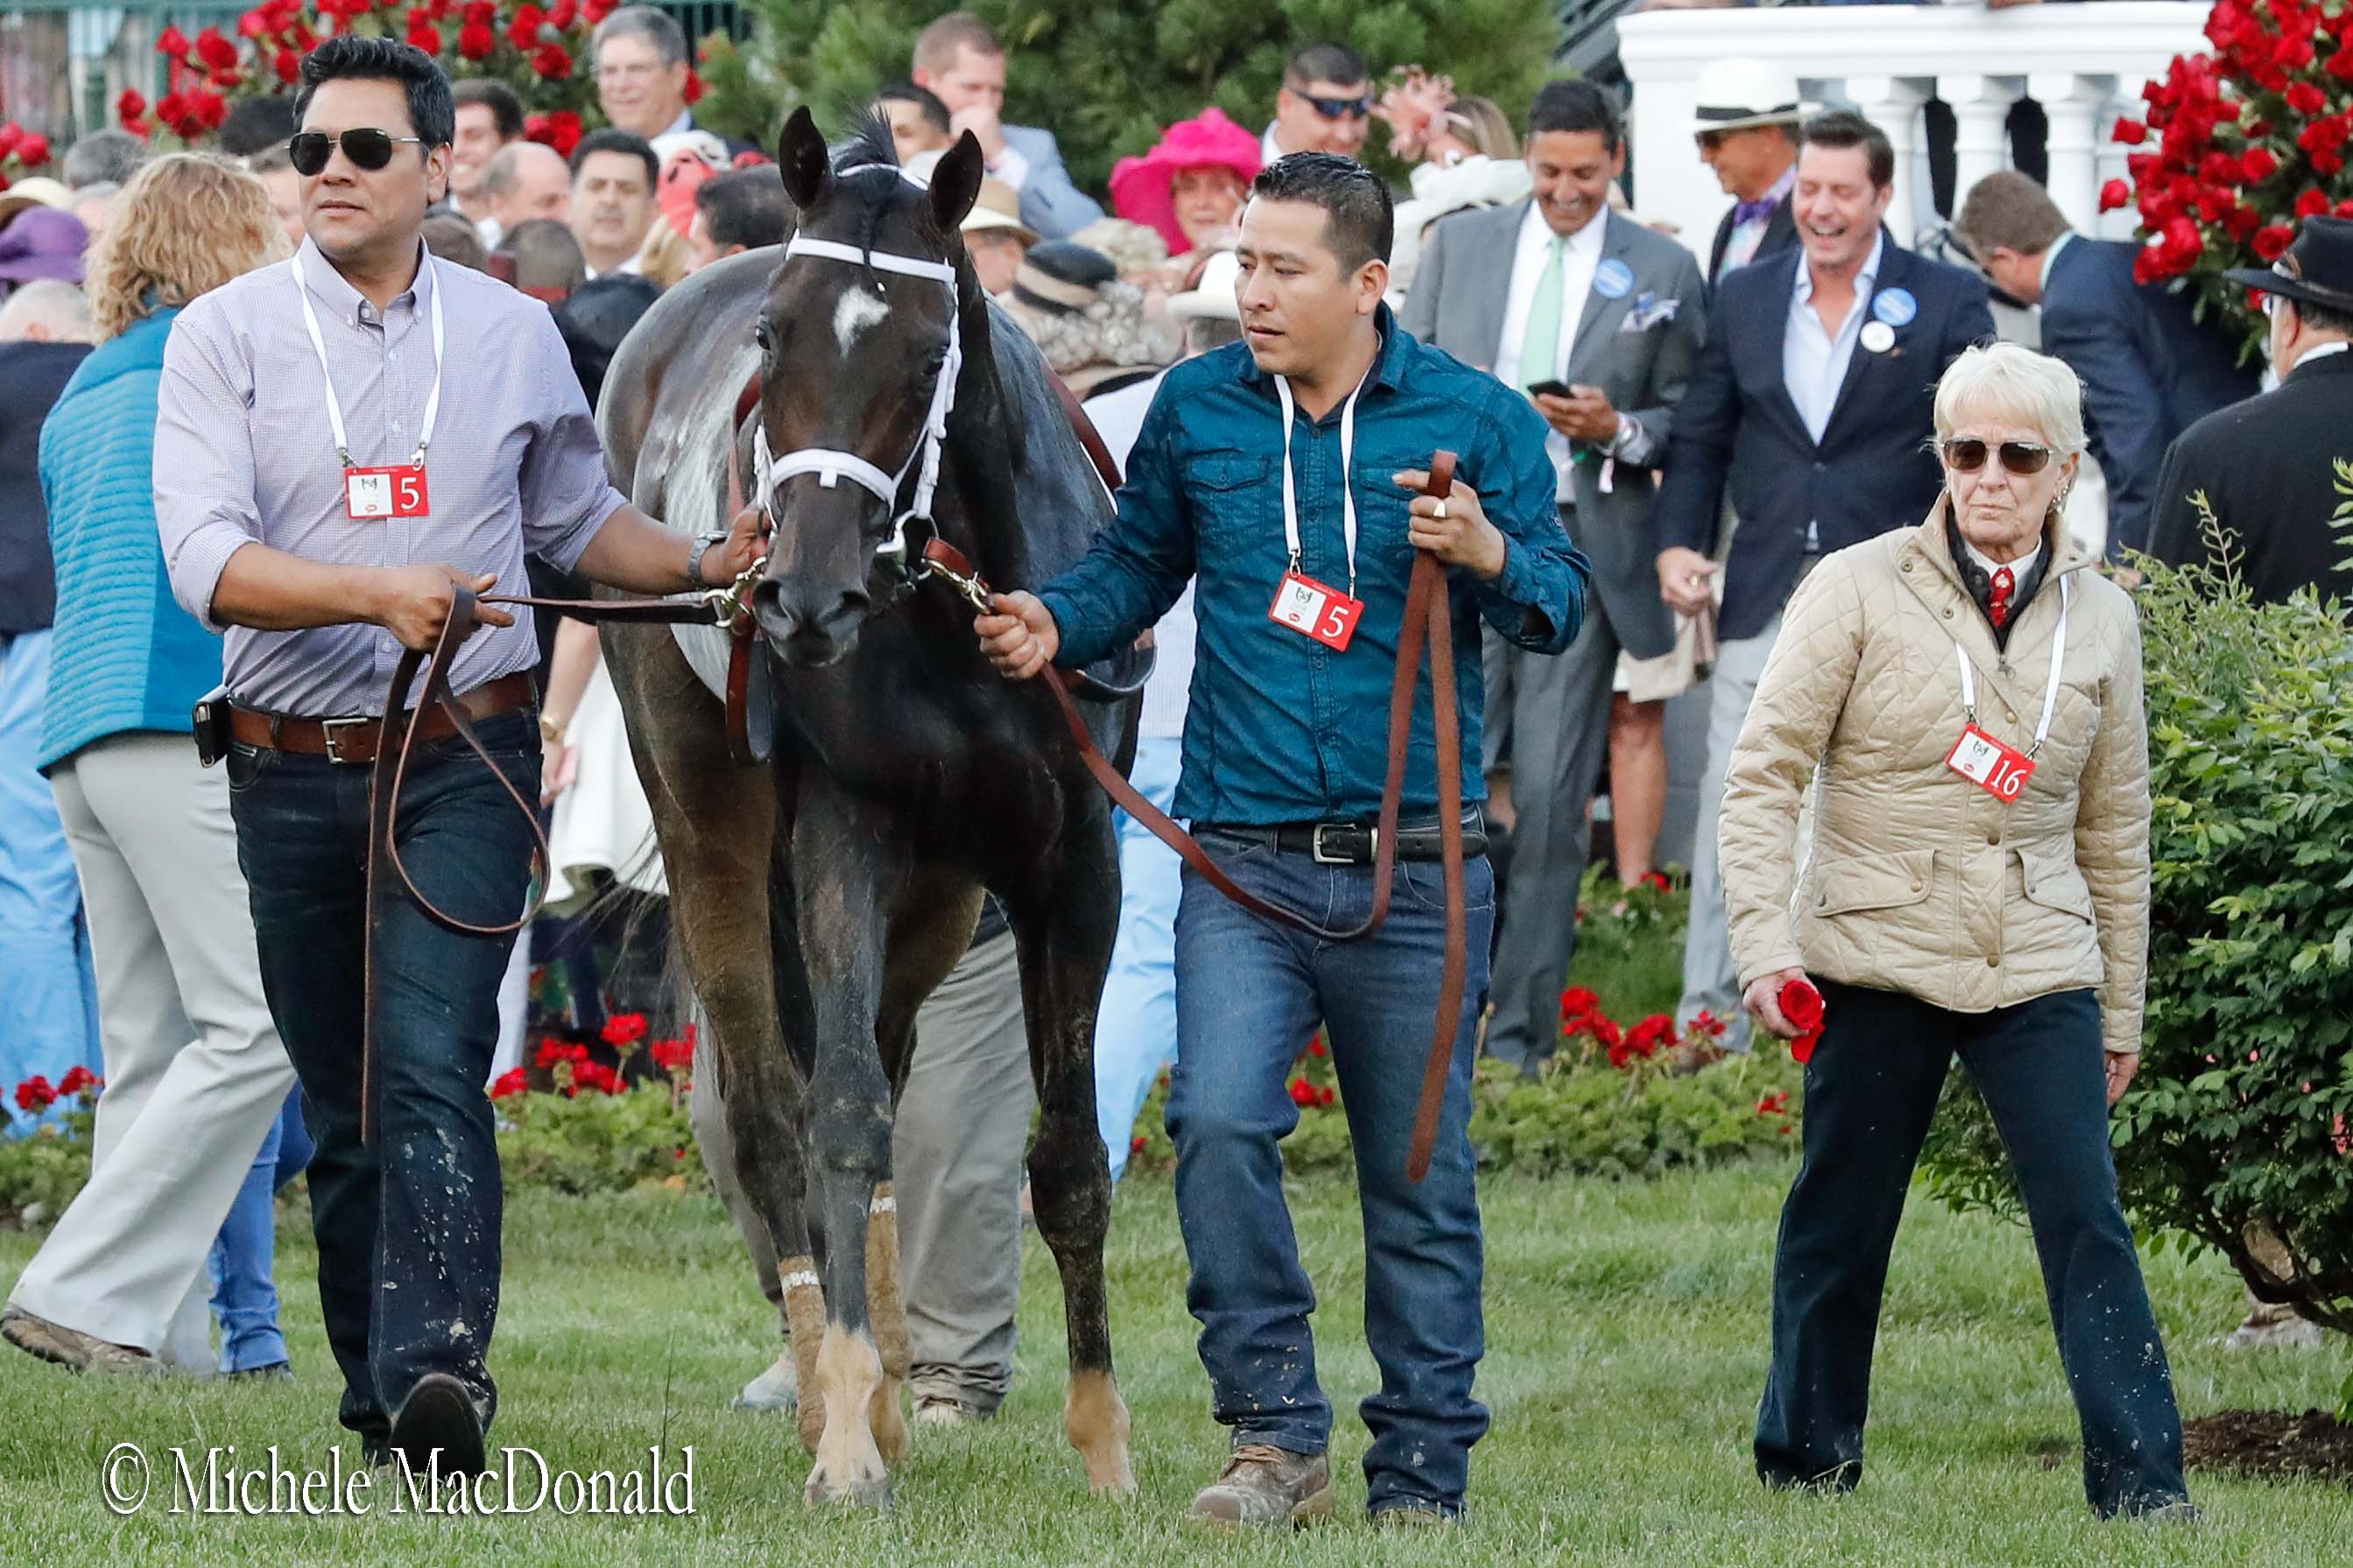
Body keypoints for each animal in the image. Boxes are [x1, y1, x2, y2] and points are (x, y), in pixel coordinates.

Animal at [593, 113, 1134, 1504]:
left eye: (927, 347)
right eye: (771, 333)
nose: (805, 593)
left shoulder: (1071, 858)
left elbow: (1065, 1152)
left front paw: (1102, 1444)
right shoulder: (844, 831)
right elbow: (836, 1115)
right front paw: (841, 1438)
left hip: (943, 893)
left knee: (887, 1062)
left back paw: (887, 1383)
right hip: (712, 821)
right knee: (768, 1101)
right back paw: (829, 1388)